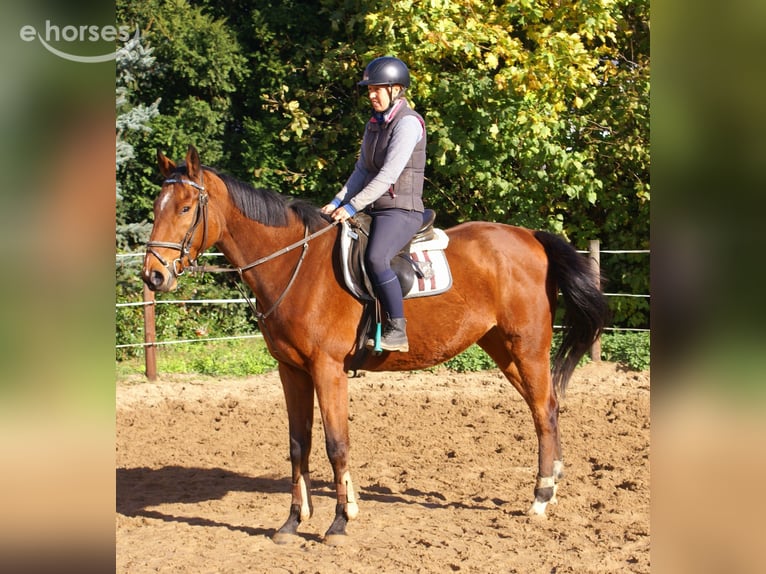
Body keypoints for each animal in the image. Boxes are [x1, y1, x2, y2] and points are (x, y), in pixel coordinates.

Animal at [142, 145, 609, 545]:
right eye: (156, 208)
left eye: (186, 208)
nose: (154, 275)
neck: (294, 263)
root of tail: (530, 237)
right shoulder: (291, 370)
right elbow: (298, 444)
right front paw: (293, 522)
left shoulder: (327, 369)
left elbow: (336, 444)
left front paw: (340, 522)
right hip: (503, 348)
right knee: (546, 406)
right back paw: (552, 483)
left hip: (527, 347)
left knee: (543, 411)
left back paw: (541, 497)